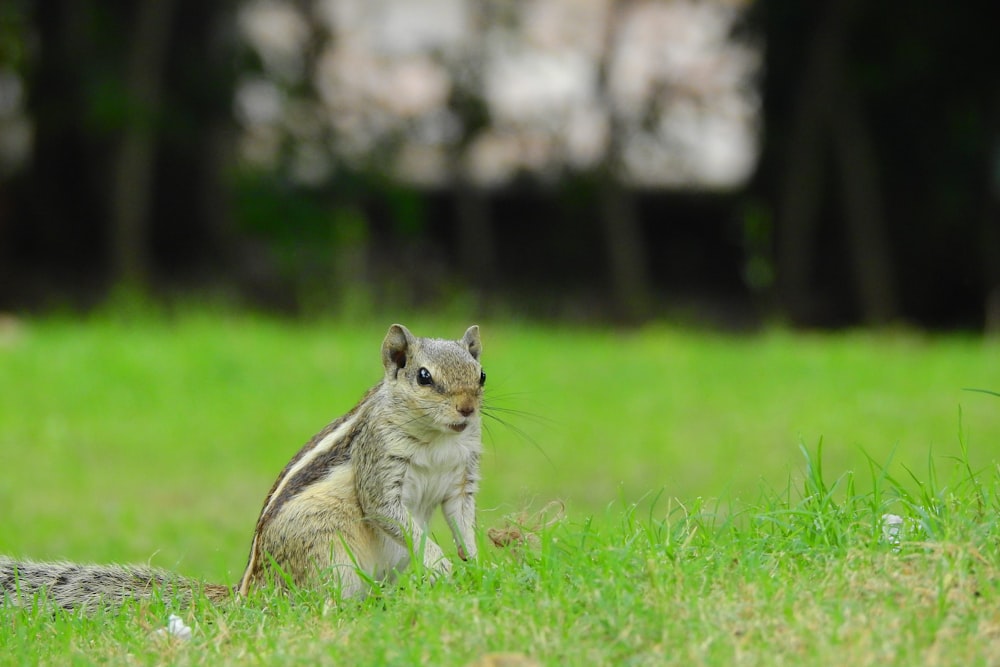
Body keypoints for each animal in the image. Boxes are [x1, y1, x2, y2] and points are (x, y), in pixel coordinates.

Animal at [0, 324, 484, 612]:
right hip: (327, 554)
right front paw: (443, 564)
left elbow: (461, 519)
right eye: (424, 377)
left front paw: (476, 563)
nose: (467, 409)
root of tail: (249, 593)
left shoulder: (461, 479)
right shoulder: (379, 467)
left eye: (481, 376)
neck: (440, 439)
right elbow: (388, 512)